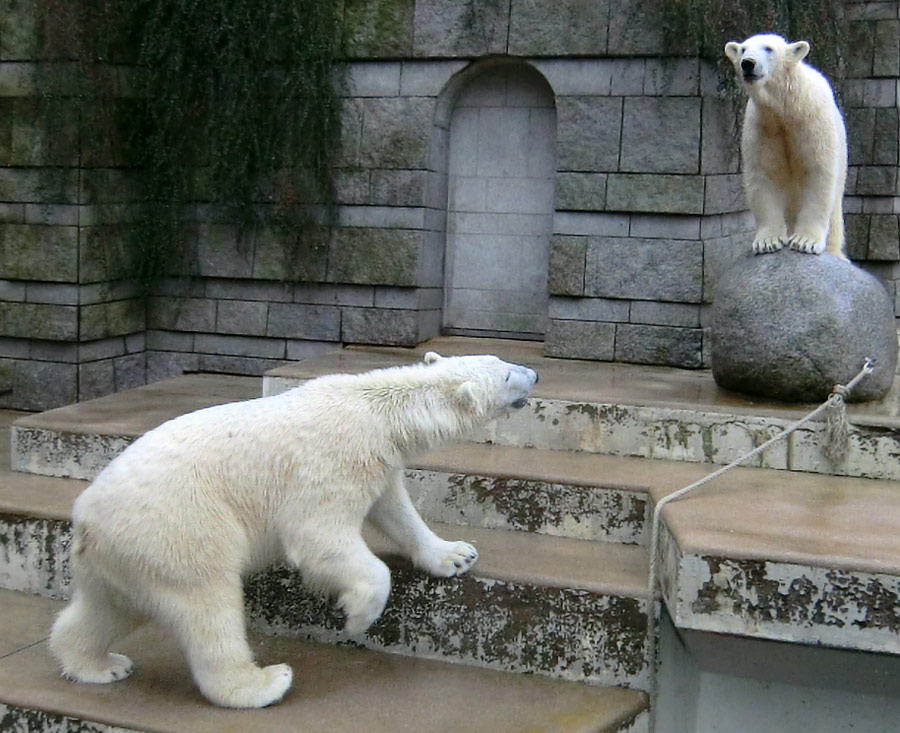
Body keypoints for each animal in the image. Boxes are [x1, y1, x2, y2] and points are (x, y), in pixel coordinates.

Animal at [49, 352, 536, 708]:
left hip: (123, 557)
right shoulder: (333, 460)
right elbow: (318, 535)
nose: (534, 371)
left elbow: (396, 510)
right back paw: (263, 682)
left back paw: (101, 664)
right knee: (207, 607)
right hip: (179, 528)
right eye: (507, 373)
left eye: (502, 358)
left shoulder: (377, 463)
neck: (377, 410)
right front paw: (358, 616)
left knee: (109, 609)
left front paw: (456, 554)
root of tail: (87, 521)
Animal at [728, 33, 848, 260]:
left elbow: (818, 173)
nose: (748, 63)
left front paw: (805, 242)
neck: (787, 107)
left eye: (768, 48)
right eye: (743, 49)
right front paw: (768, 242)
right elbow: (765, 174)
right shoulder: (764, 127)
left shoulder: (813, 121)